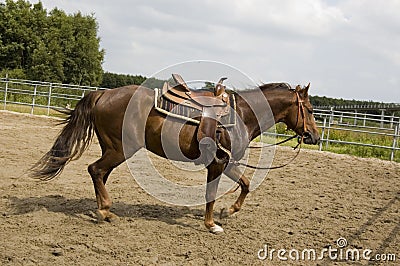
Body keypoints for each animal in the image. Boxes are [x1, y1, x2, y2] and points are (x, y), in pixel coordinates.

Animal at [30, 81, 318, 233]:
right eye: (310, 109)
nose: (314, 136)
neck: (241, 115)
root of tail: (104, 93)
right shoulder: (218, 163)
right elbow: (210, 194)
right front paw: (211, 224)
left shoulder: (228, 163)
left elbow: (246, 184)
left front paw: (228, 211)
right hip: (120, 149)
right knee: (96, 170)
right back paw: (105, 211)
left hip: (112, 149)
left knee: (99, 173)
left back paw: (103, 210)